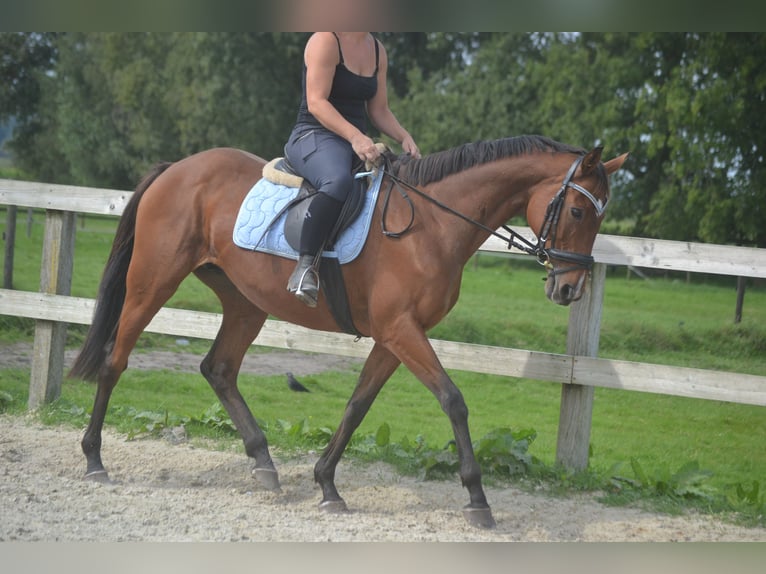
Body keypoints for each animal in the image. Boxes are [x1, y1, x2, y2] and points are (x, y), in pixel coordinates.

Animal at [67, 135, 632, 532]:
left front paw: (326, 485)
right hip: (152, 282)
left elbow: (358, 405)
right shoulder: (402, 330)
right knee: (116, 360)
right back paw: (94, 458)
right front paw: (477, 498)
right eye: (577, 210)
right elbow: (453, 400)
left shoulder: (394, 336)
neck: (431, 224)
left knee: (218, 368)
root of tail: (178, 168)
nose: (570, 289)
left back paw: (264, 463)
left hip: (245, 303)